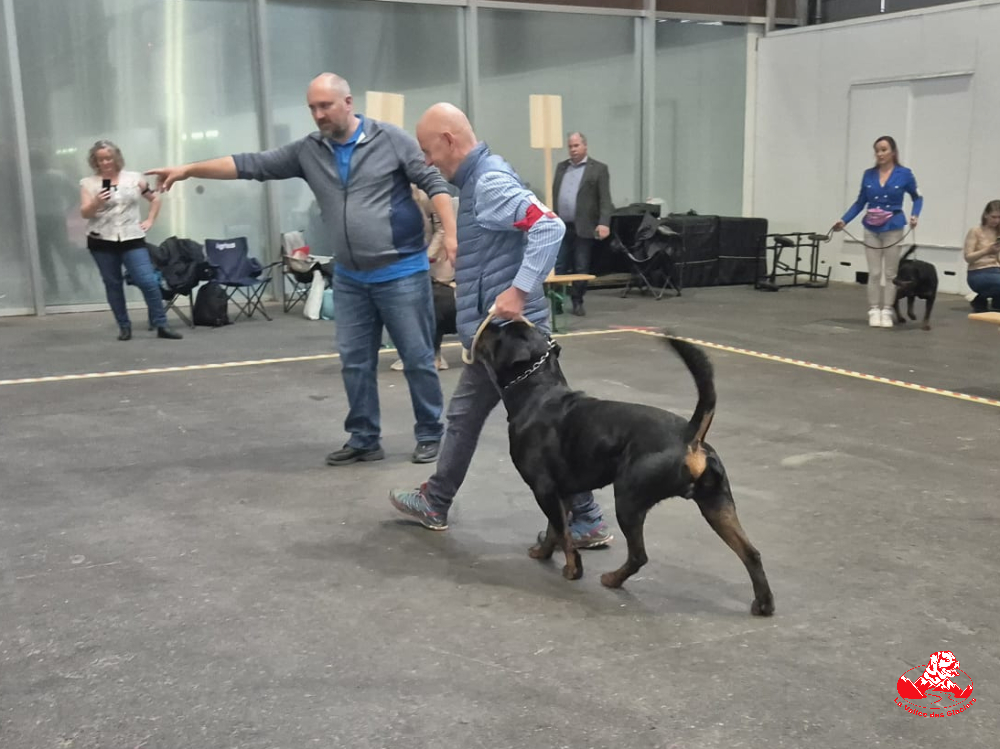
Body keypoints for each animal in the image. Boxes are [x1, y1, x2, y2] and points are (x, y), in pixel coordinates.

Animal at [474, 324, 772, 616]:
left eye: (498, 332)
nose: (485, 325)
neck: (538, 394)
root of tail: (690, 436)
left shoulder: (544, 488)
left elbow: (563, 533)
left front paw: (572, 570)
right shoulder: (562, 492)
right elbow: (554, 529)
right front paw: (543, 552)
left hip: (628, 499)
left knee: (639, 555)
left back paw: (612, 579)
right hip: (717, 504)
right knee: (751, 553)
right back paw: (764, 603)